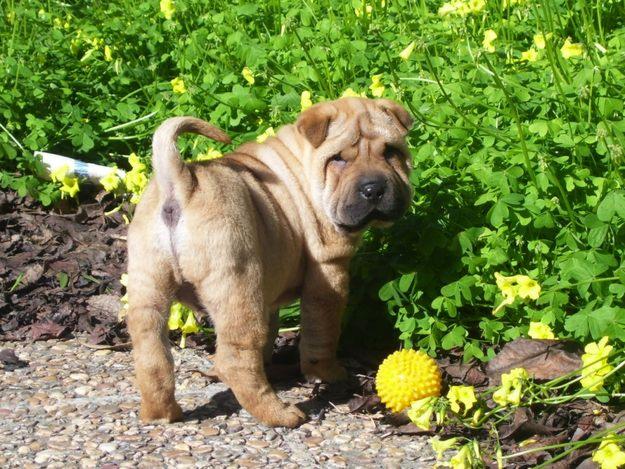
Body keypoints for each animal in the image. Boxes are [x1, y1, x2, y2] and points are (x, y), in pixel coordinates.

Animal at [125, 97, 412, 426]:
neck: (304, 167)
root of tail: (181, 183)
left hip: (148, 285)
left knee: (152, 355)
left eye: (391, 152)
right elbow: (321, 334)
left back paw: (161, 414)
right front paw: (328, 373)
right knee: (235, 358)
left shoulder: (269, 289)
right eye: (338, 159)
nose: (373, 189)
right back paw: (281, 413)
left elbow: (273, 330)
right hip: (236, 280)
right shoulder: (328, 272)